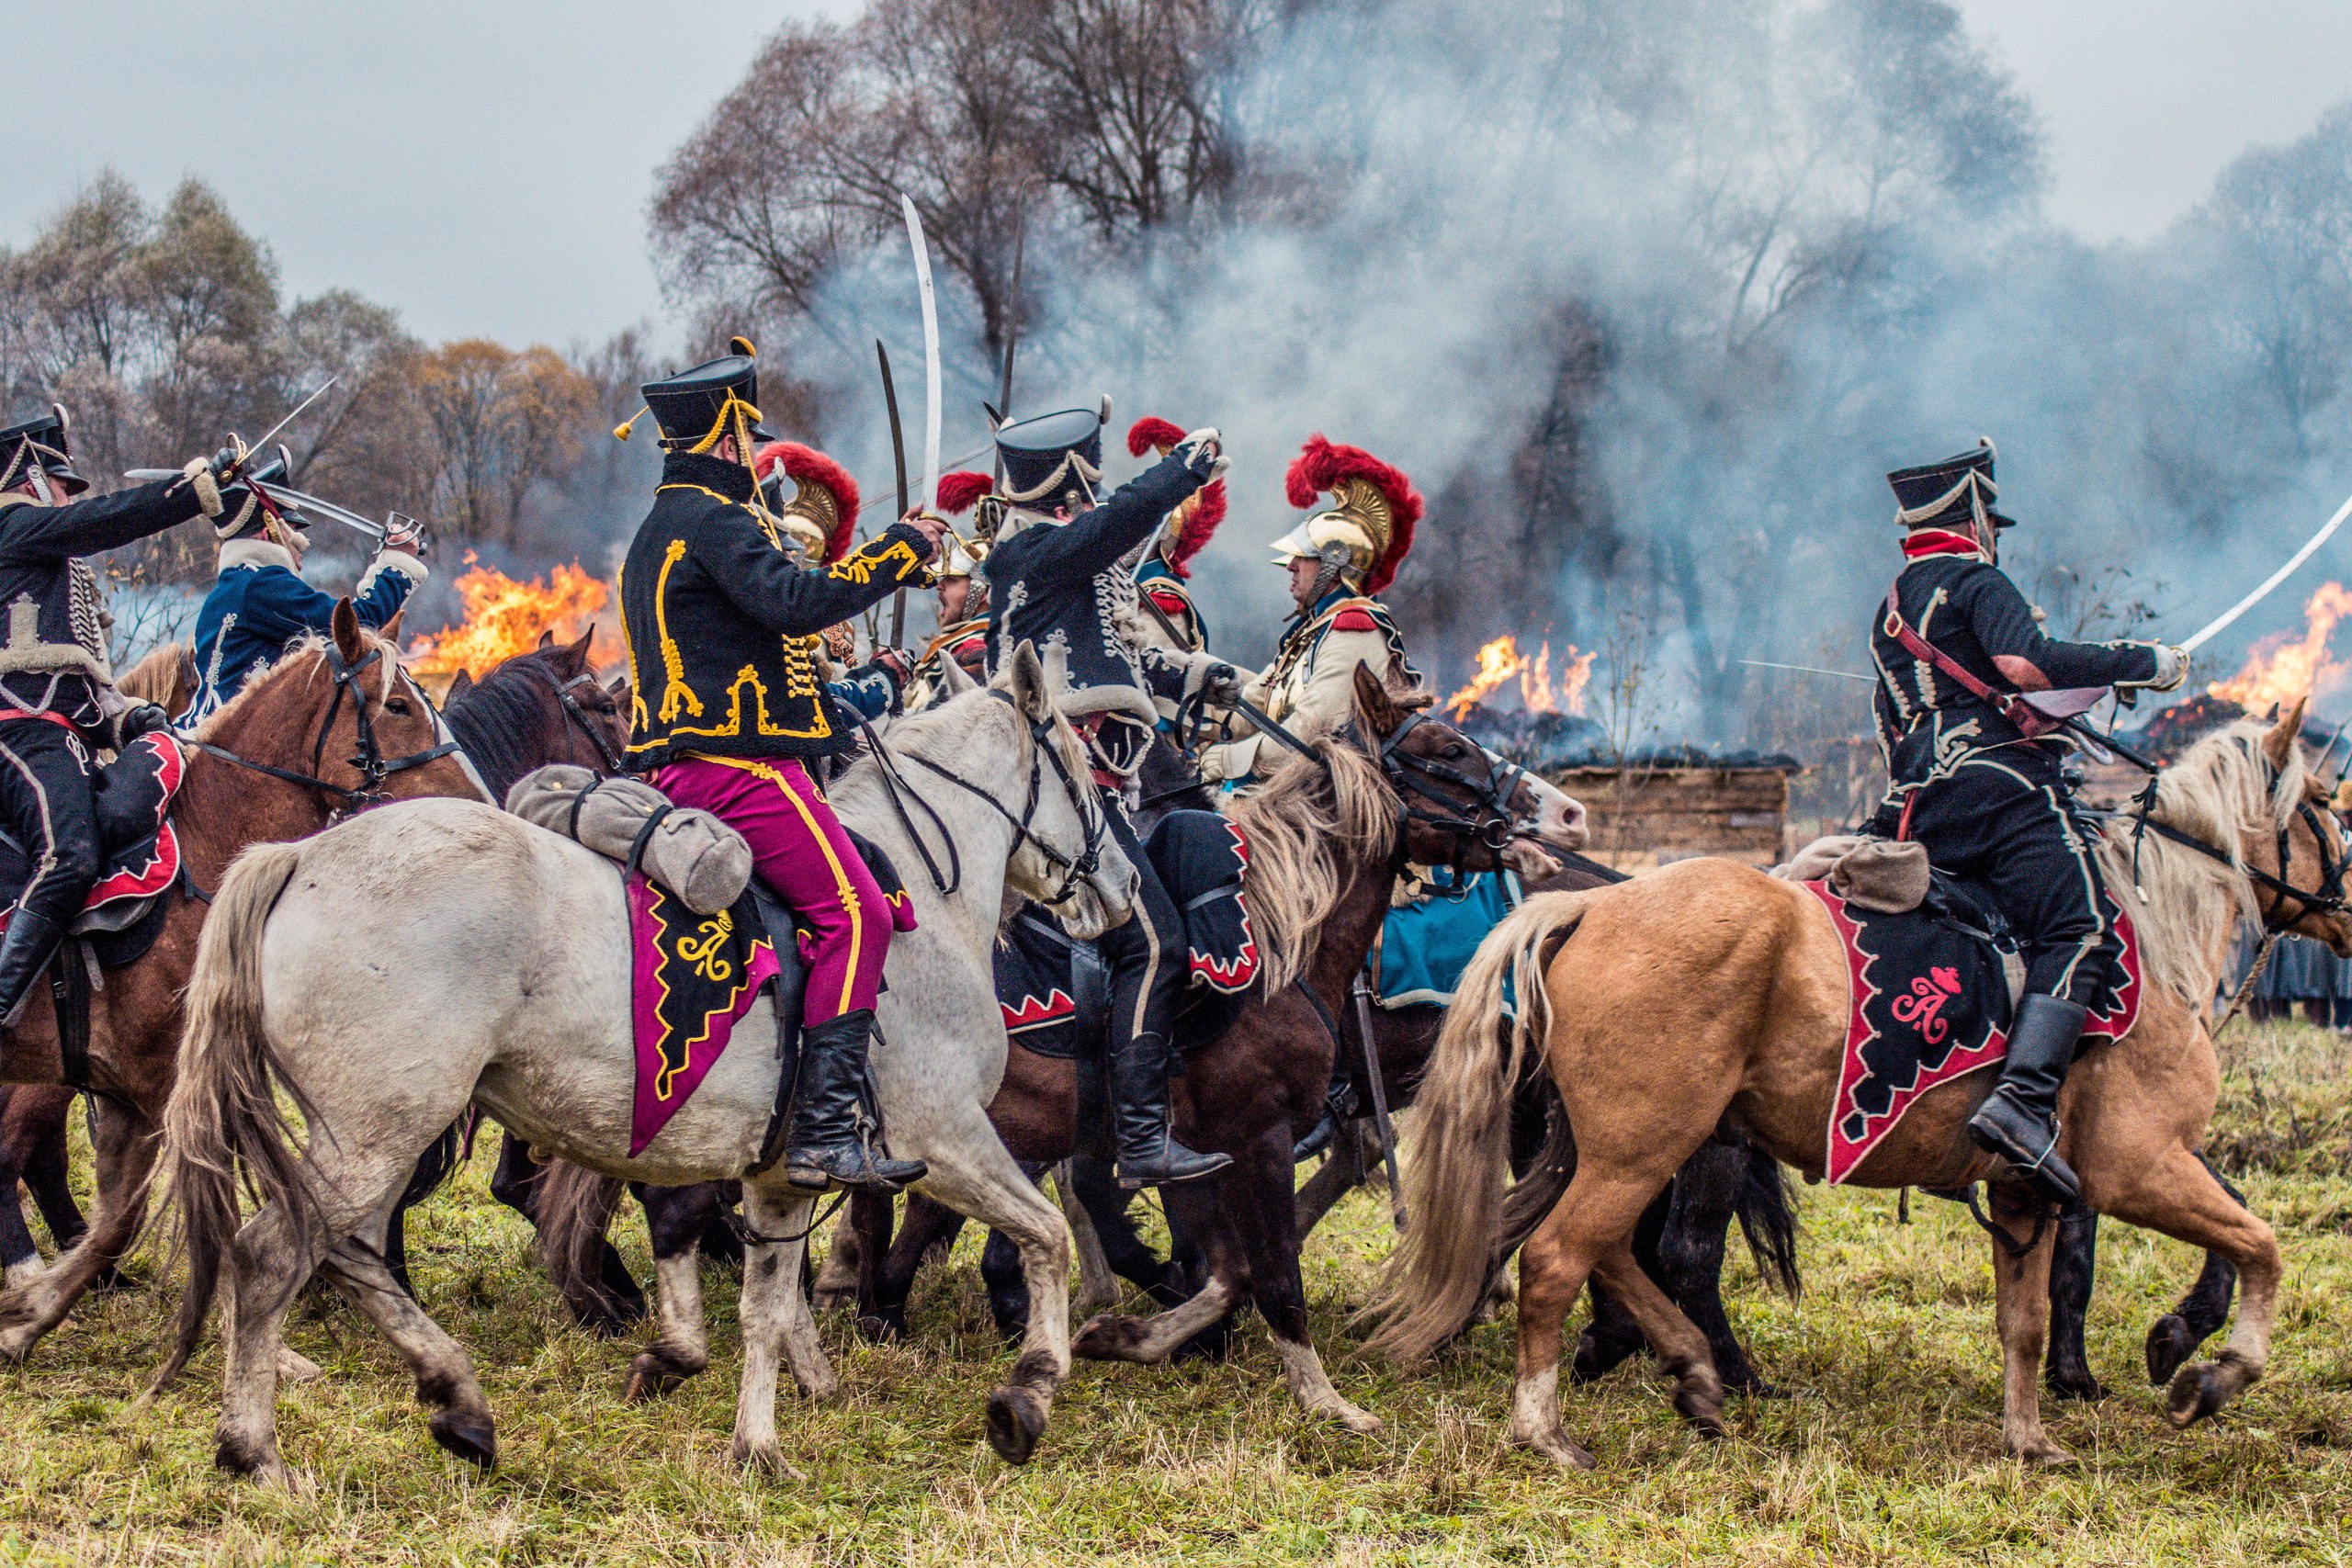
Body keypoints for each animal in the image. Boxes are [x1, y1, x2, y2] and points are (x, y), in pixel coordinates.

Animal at [0, 602, 481, 1363]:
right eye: (398, 704)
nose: (479, 801)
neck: (200, 859)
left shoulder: (134, 1096)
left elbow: (120, 1221)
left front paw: (31, 1313)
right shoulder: (160, 1088)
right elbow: (163, 1212)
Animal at [152, 644, 1133, 1495]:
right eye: (1086, 776)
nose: (1121, 890)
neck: (924, 896)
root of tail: (299, 858)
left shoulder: (783, 1175)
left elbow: (767, 1307)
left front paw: (757, 1446)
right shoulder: (950, 1137)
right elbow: (1046, 1233)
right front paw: (1030, 1391)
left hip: (377, 1133)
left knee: (350, 1251)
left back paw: (458, 1402)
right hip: (376, 1131)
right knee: (275, 1255)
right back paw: (257, 1450)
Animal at [1363, 705, 2352, 1466]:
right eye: (2322, 805)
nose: (2348, 910)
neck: (2153, 934)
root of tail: (1589, 902)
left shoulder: (2030, 1191)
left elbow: (2027, 1319)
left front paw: (2032, 1438)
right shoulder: (2138, 1167)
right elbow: (2260, 1244)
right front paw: (2209, 1372)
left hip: (1616, 1149)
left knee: (1596, 1250)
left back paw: (1692, 1370)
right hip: (1644, 1149)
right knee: (1563, 1258)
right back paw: (1551, 1427)